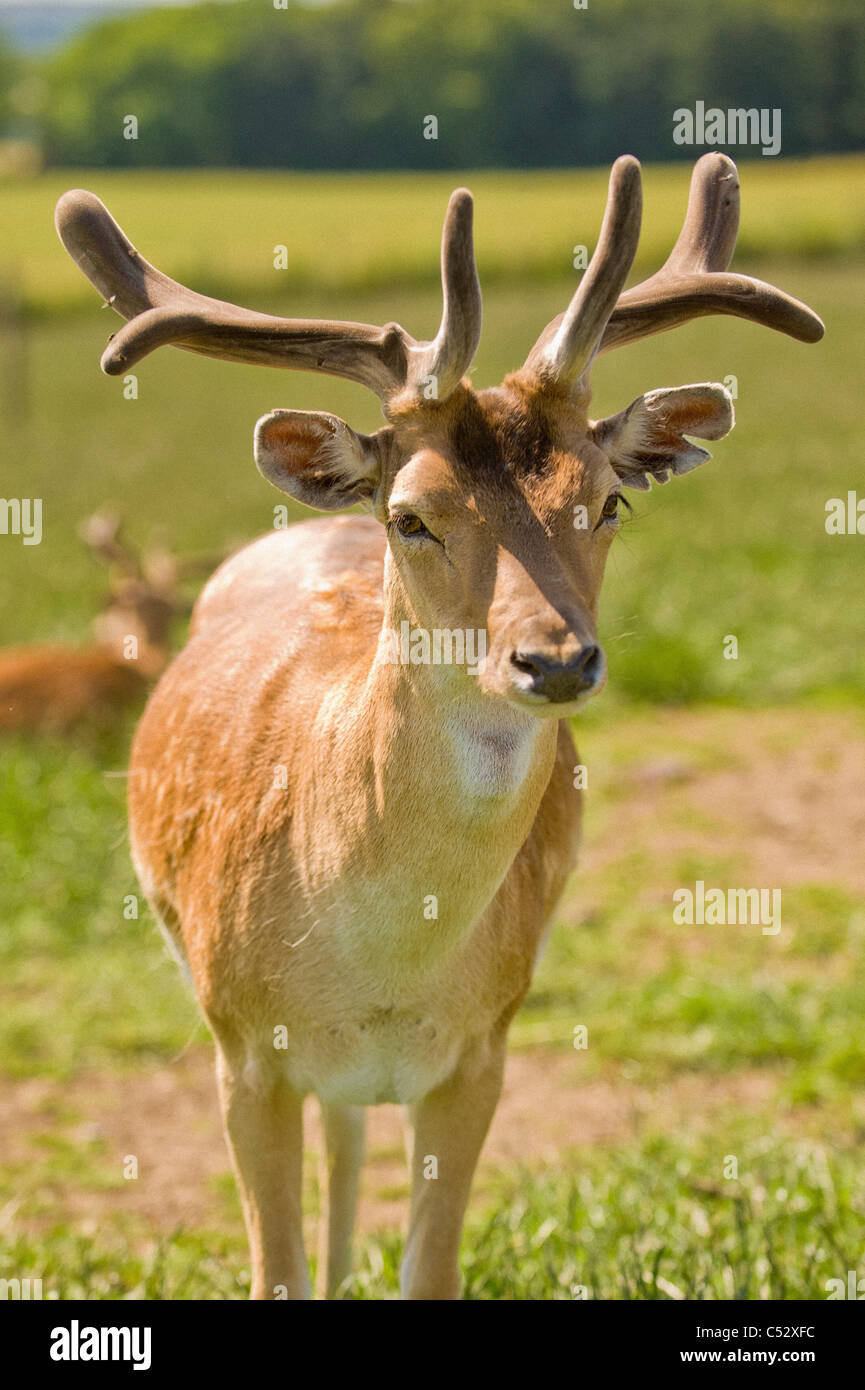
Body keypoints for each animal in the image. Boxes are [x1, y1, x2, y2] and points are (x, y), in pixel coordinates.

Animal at [55, 154, 828, 1301]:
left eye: (608, 501)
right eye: (411, 514)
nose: (554, 659)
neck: (383, 971)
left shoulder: (482, 1048)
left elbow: (431, 1270)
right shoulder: (239, 1046)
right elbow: (273, 1273)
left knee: (346, 1140)